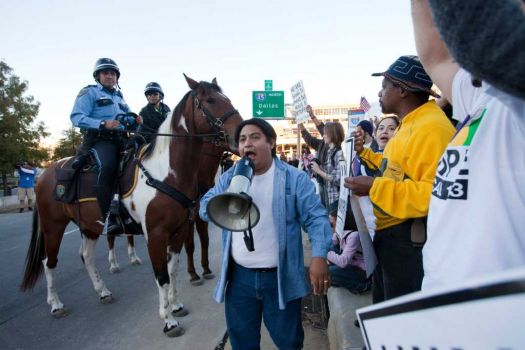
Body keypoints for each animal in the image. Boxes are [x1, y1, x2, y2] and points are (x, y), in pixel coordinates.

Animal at [19, 75, 242, 338]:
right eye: (210, 100)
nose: (242, 131)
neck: (166, 173)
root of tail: (43, 174)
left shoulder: (178, 231)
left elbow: (173, 270)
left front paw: (176, 305)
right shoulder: (155, 235)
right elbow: (162, 275)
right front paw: (168, 320)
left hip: (89, 226)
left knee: (87, 257)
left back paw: (103, 291)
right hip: (54, 226)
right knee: (49, 262)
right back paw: (56, 304)